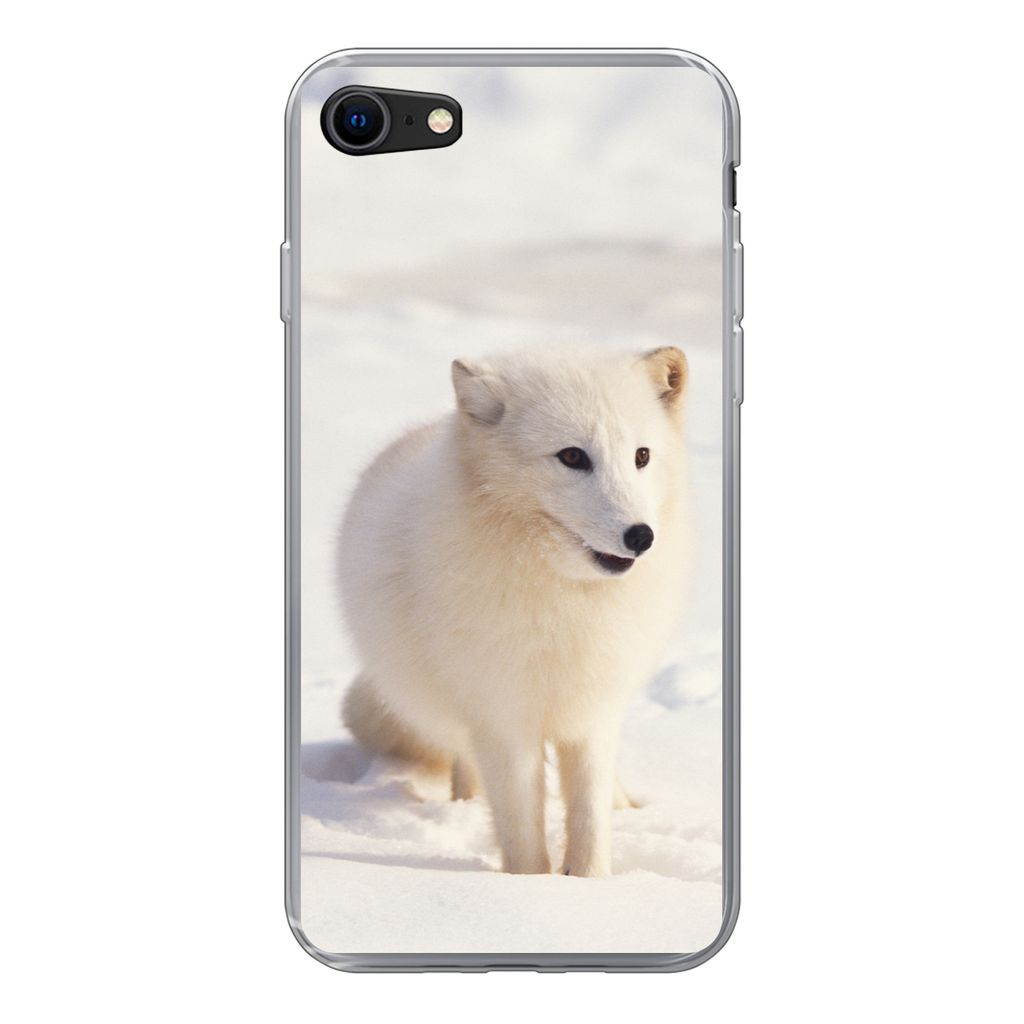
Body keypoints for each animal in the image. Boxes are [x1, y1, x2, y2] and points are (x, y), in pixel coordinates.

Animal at [338, 346, 689, 876]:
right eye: (572, 456)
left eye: (641, 457)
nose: (640, 536)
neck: (566, 604)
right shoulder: (503, 718)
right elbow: (522, 826)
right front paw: (529, 885)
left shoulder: (593, 709)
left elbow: (589, 814)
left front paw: (591, 881)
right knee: (466, 761)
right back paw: (466, 803)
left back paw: (627, 805)